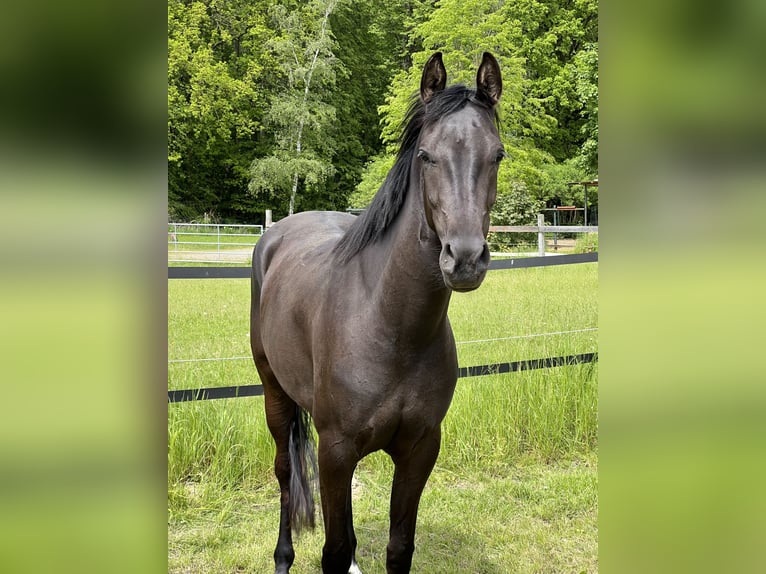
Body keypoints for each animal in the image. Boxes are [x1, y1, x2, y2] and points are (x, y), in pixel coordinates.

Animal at [250, 51, 504, 572]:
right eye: (426, 156)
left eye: (498, 155)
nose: (465, 258)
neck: (391, 326)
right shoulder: (336, 451)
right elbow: (331, 549)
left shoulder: (420, 449)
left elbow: (397, 547)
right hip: (275, 393)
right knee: (285, 472)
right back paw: (283, 557)